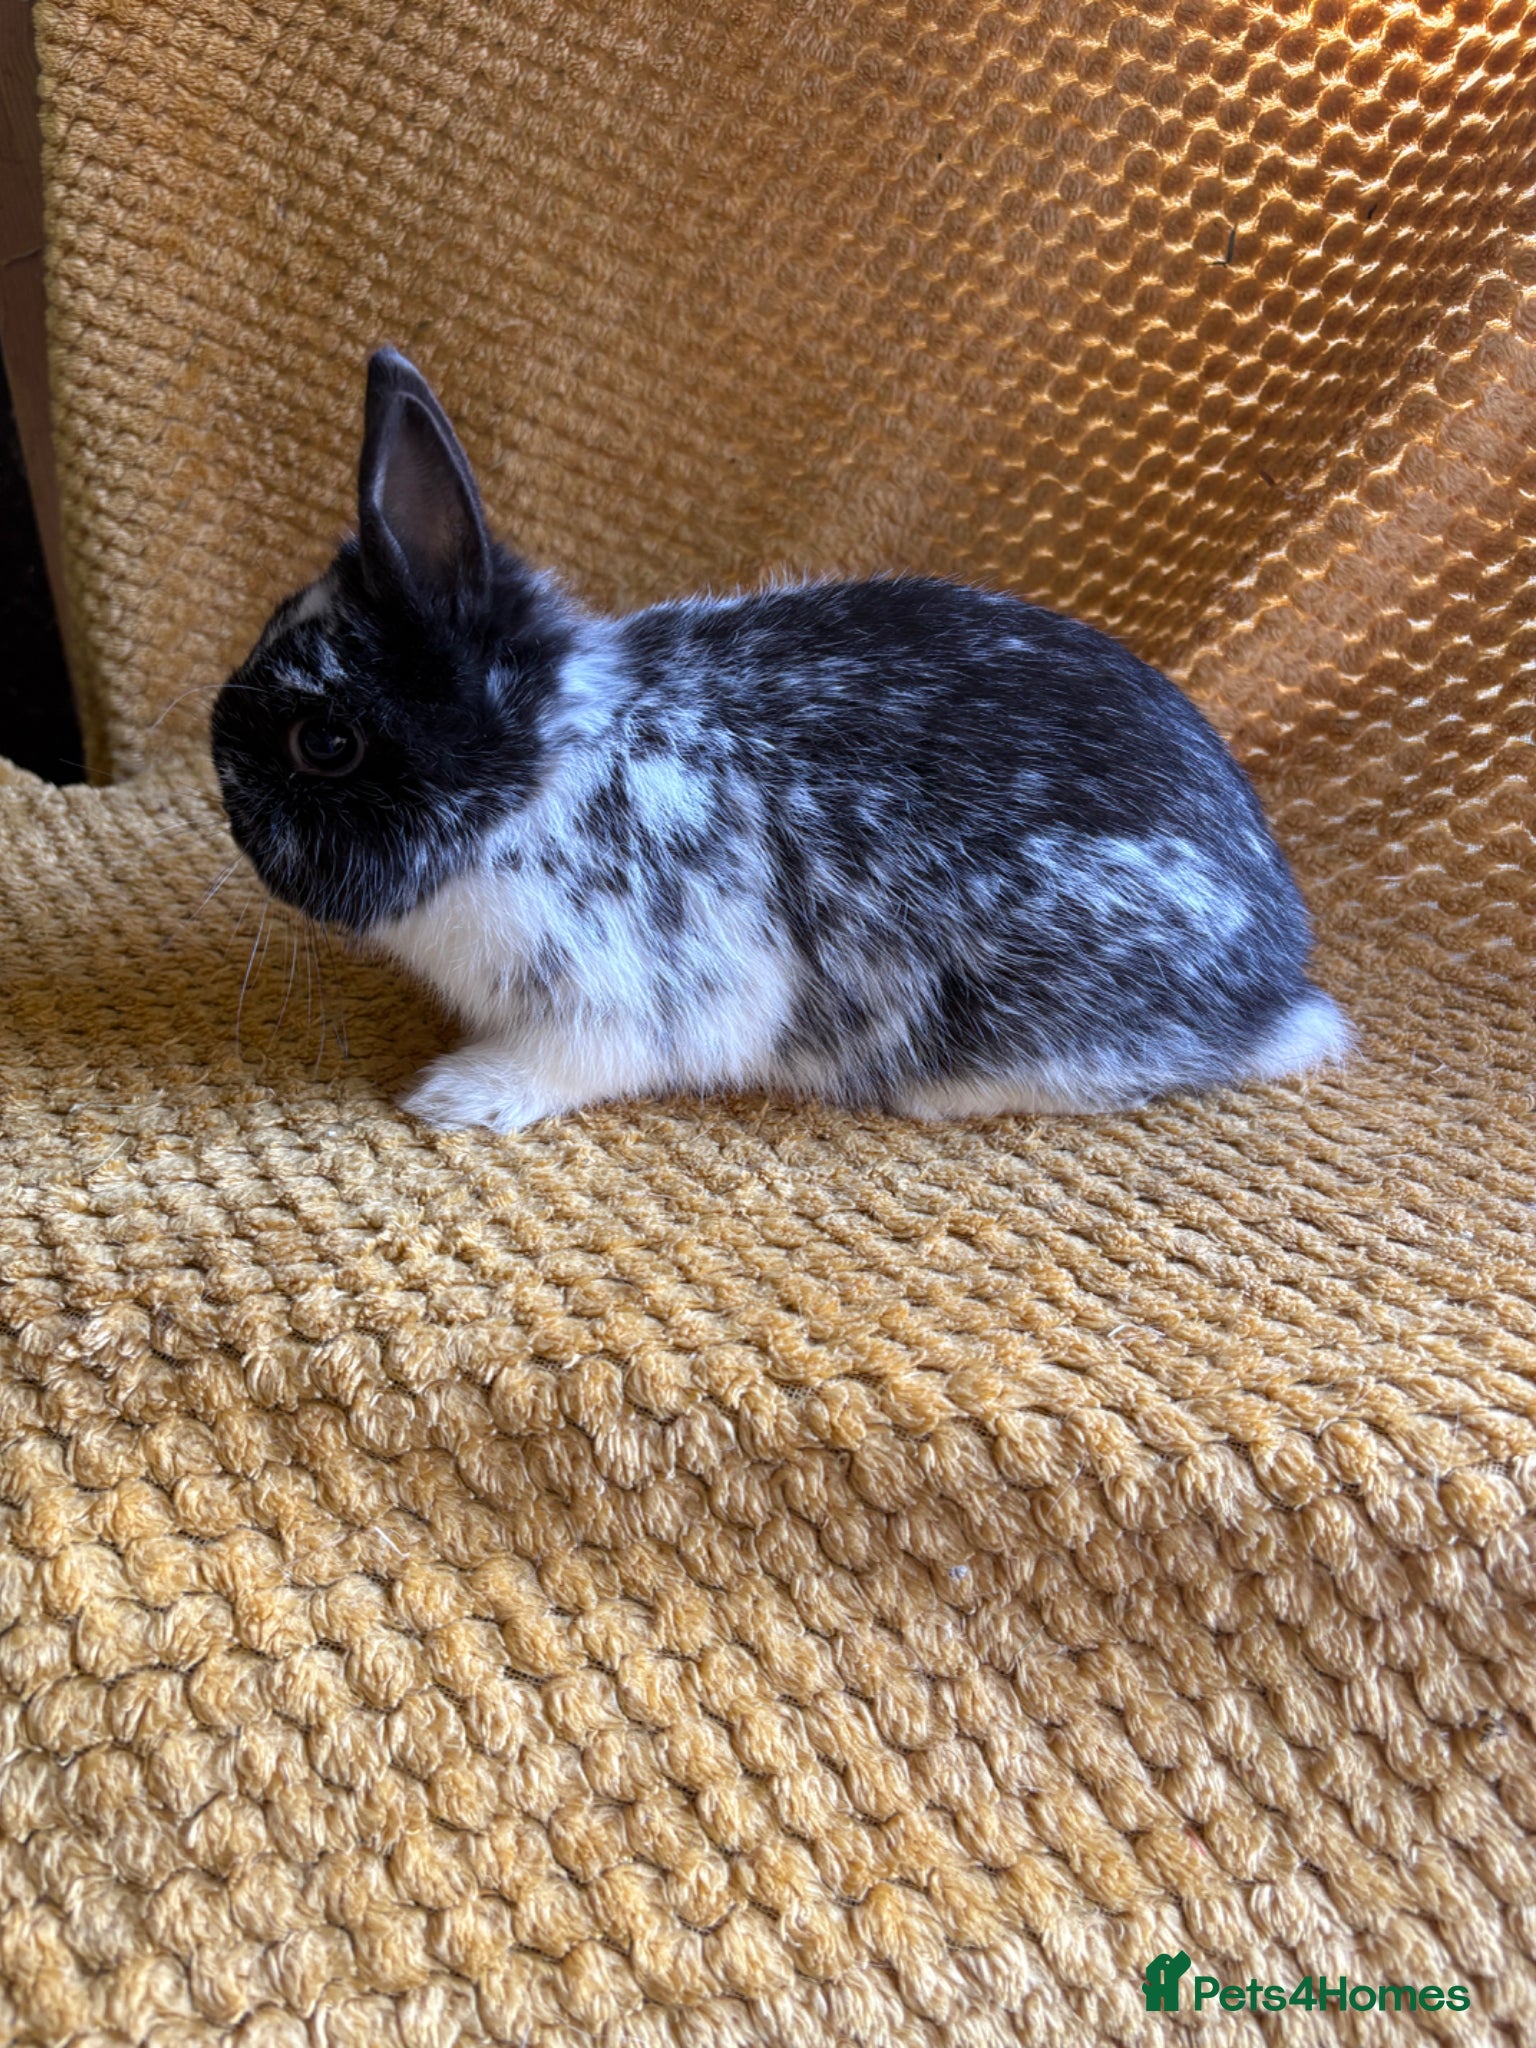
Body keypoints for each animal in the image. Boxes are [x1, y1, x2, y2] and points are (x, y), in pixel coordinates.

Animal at [211, 347, 1350, 1132]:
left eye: (325, 741)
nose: (225, 792)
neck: (540, 773)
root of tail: (1276, 986)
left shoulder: (634, 993)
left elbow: (576, 1060)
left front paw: (456, 1096)